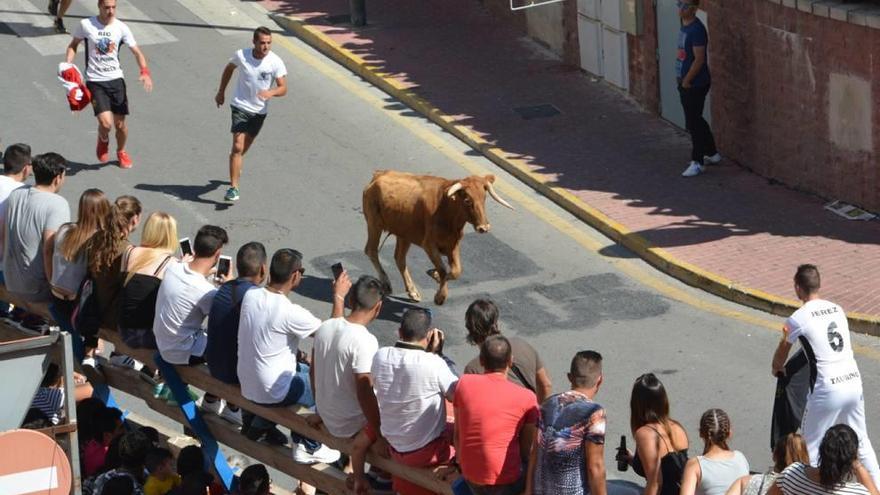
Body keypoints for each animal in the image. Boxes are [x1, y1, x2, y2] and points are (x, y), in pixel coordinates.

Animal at [364, 170, 516, 306]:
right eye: (467, 200)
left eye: (484, 198)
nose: (484, 227)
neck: (447, 210)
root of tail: (378, 175)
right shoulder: (429, 245)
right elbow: (443, 270)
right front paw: (440, 296)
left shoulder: (453, 244)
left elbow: (456, 271)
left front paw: (435, 275)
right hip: (374, 224)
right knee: (372, 251)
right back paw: (386, 284)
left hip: (404, 234)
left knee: (399, 258)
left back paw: (412, 291)